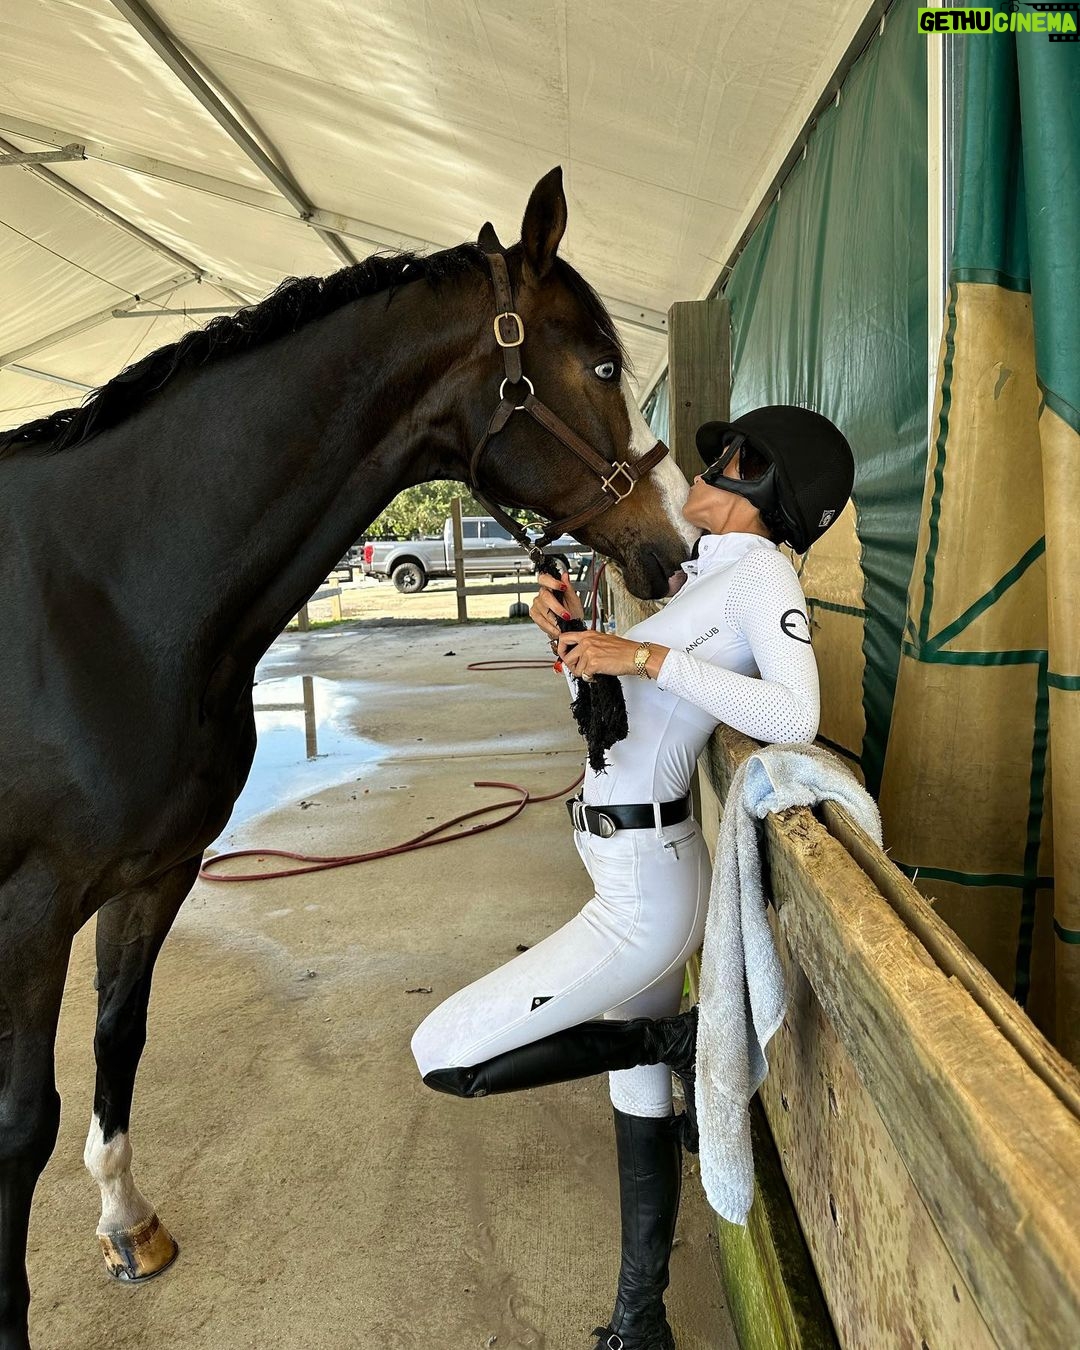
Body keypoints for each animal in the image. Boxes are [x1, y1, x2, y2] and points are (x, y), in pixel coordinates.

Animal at [0, 167, 696, 1349]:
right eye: (602, 365)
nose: (677, 546)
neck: (107, 600)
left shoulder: (150, 877)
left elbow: (117, 1040)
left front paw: (128, 1226)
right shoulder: (33, 912)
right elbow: (21, 1121)